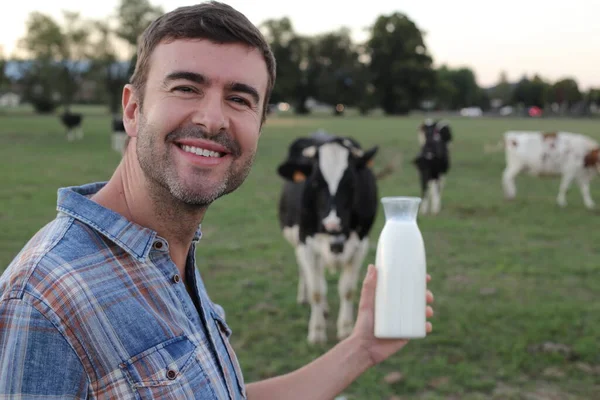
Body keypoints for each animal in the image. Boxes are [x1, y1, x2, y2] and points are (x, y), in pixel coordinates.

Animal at [278, 131, 380, 344]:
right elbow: (316, 290)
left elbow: (347, 289)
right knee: (308, 274)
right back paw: (306, 298)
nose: (332, 225)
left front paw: (346, 329)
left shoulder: (360, 244)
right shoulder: (306, 243)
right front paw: (317, 331)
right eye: (315, 183)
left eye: (351, 183)